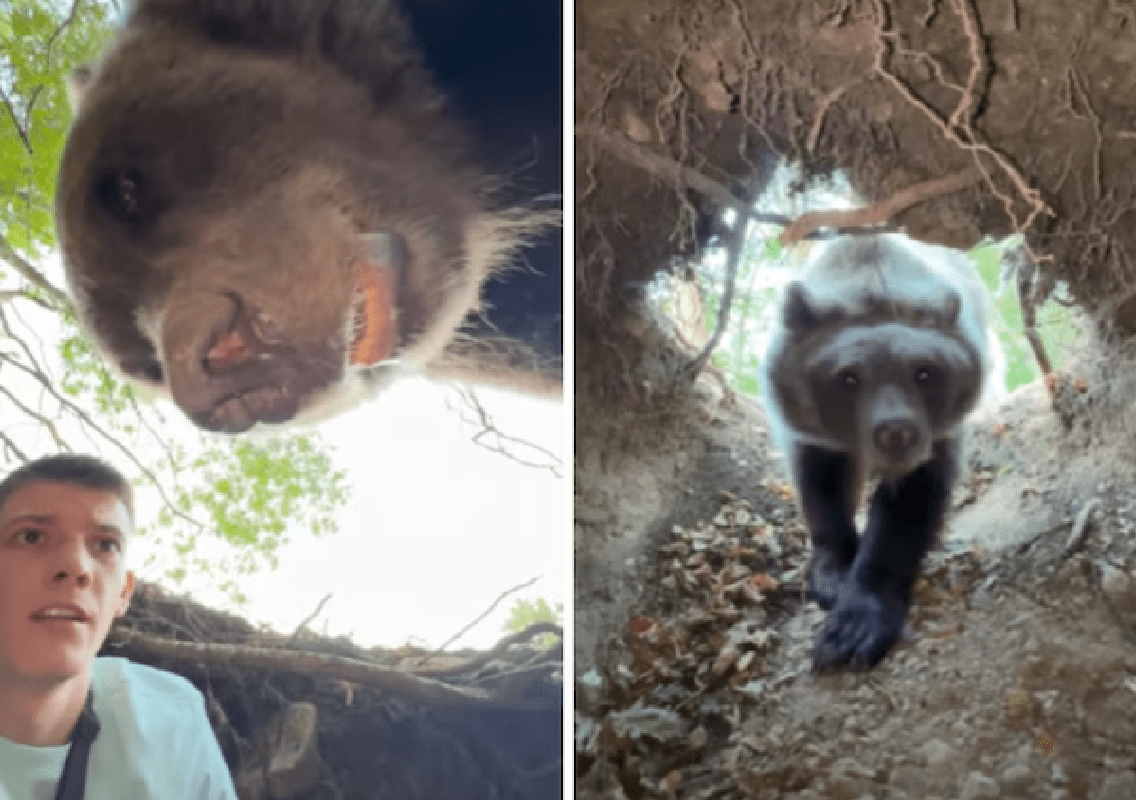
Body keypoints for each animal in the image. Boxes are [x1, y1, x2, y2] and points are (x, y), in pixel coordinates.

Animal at [761, 233, 997, 671]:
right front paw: (832, 574)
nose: (896, 432)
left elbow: (906, 511)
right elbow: (821, 487)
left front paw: (854, 628)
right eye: (848, 377)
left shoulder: (936, 438)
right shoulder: (808, 428)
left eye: (925, 372)